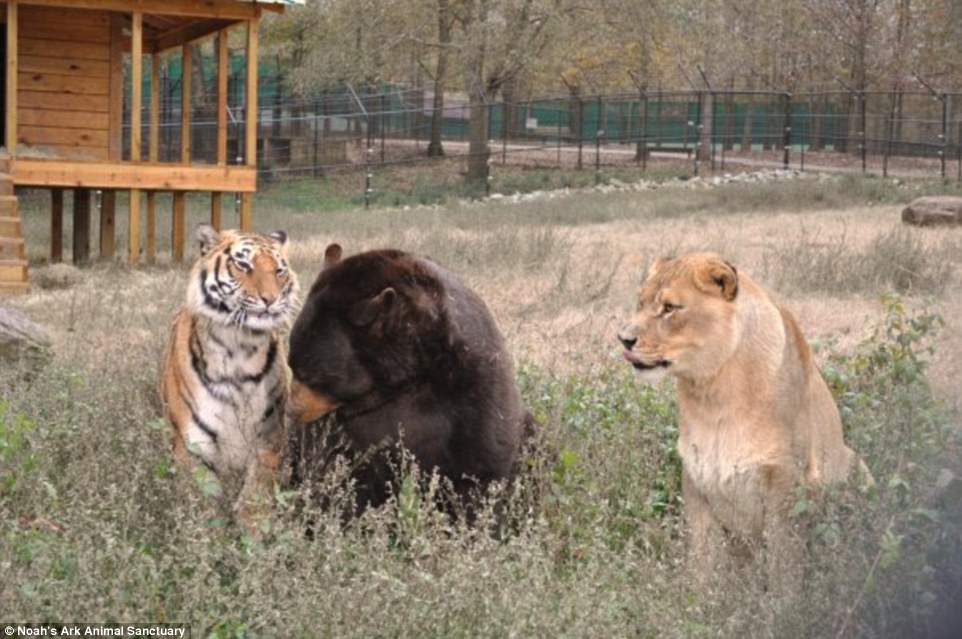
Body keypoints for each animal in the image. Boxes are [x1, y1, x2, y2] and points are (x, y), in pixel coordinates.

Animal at [159, 222, 298, 516]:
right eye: (243, 264)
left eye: (279, 271)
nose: (270, 299)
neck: (240, 348)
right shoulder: (194, 445)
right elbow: (204, 507)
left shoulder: (269, 439)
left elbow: (254, 498)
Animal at [288, 245, 536, 516]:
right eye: (291, 366)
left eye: (310, 376)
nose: (291, 411)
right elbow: (334, 466)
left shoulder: (473, 382)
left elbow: (482, 464)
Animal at [616, 252, 872, 584]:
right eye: (641, 302)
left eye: (670, 308)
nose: (623, 339)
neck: (713, 394)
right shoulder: (696, 483)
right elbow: (702, 567)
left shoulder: (785, 487)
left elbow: (784, 572)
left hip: (858, 467)